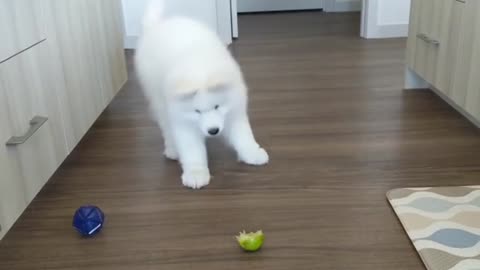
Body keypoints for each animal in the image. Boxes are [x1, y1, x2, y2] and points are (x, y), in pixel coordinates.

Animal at [136, 1, 270, 189]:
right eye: (197, 111)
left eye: (217, 106)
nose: (213, 131)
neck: (199, 67)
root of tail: (156, 25)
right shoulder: (183, 121)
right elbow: (192, 150)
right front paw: (196, 173)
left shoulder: (234, 111)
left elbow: (243, 135)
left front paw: (252, 153)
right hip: (158, 99)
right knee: (166, 126)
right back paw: (172, 149)